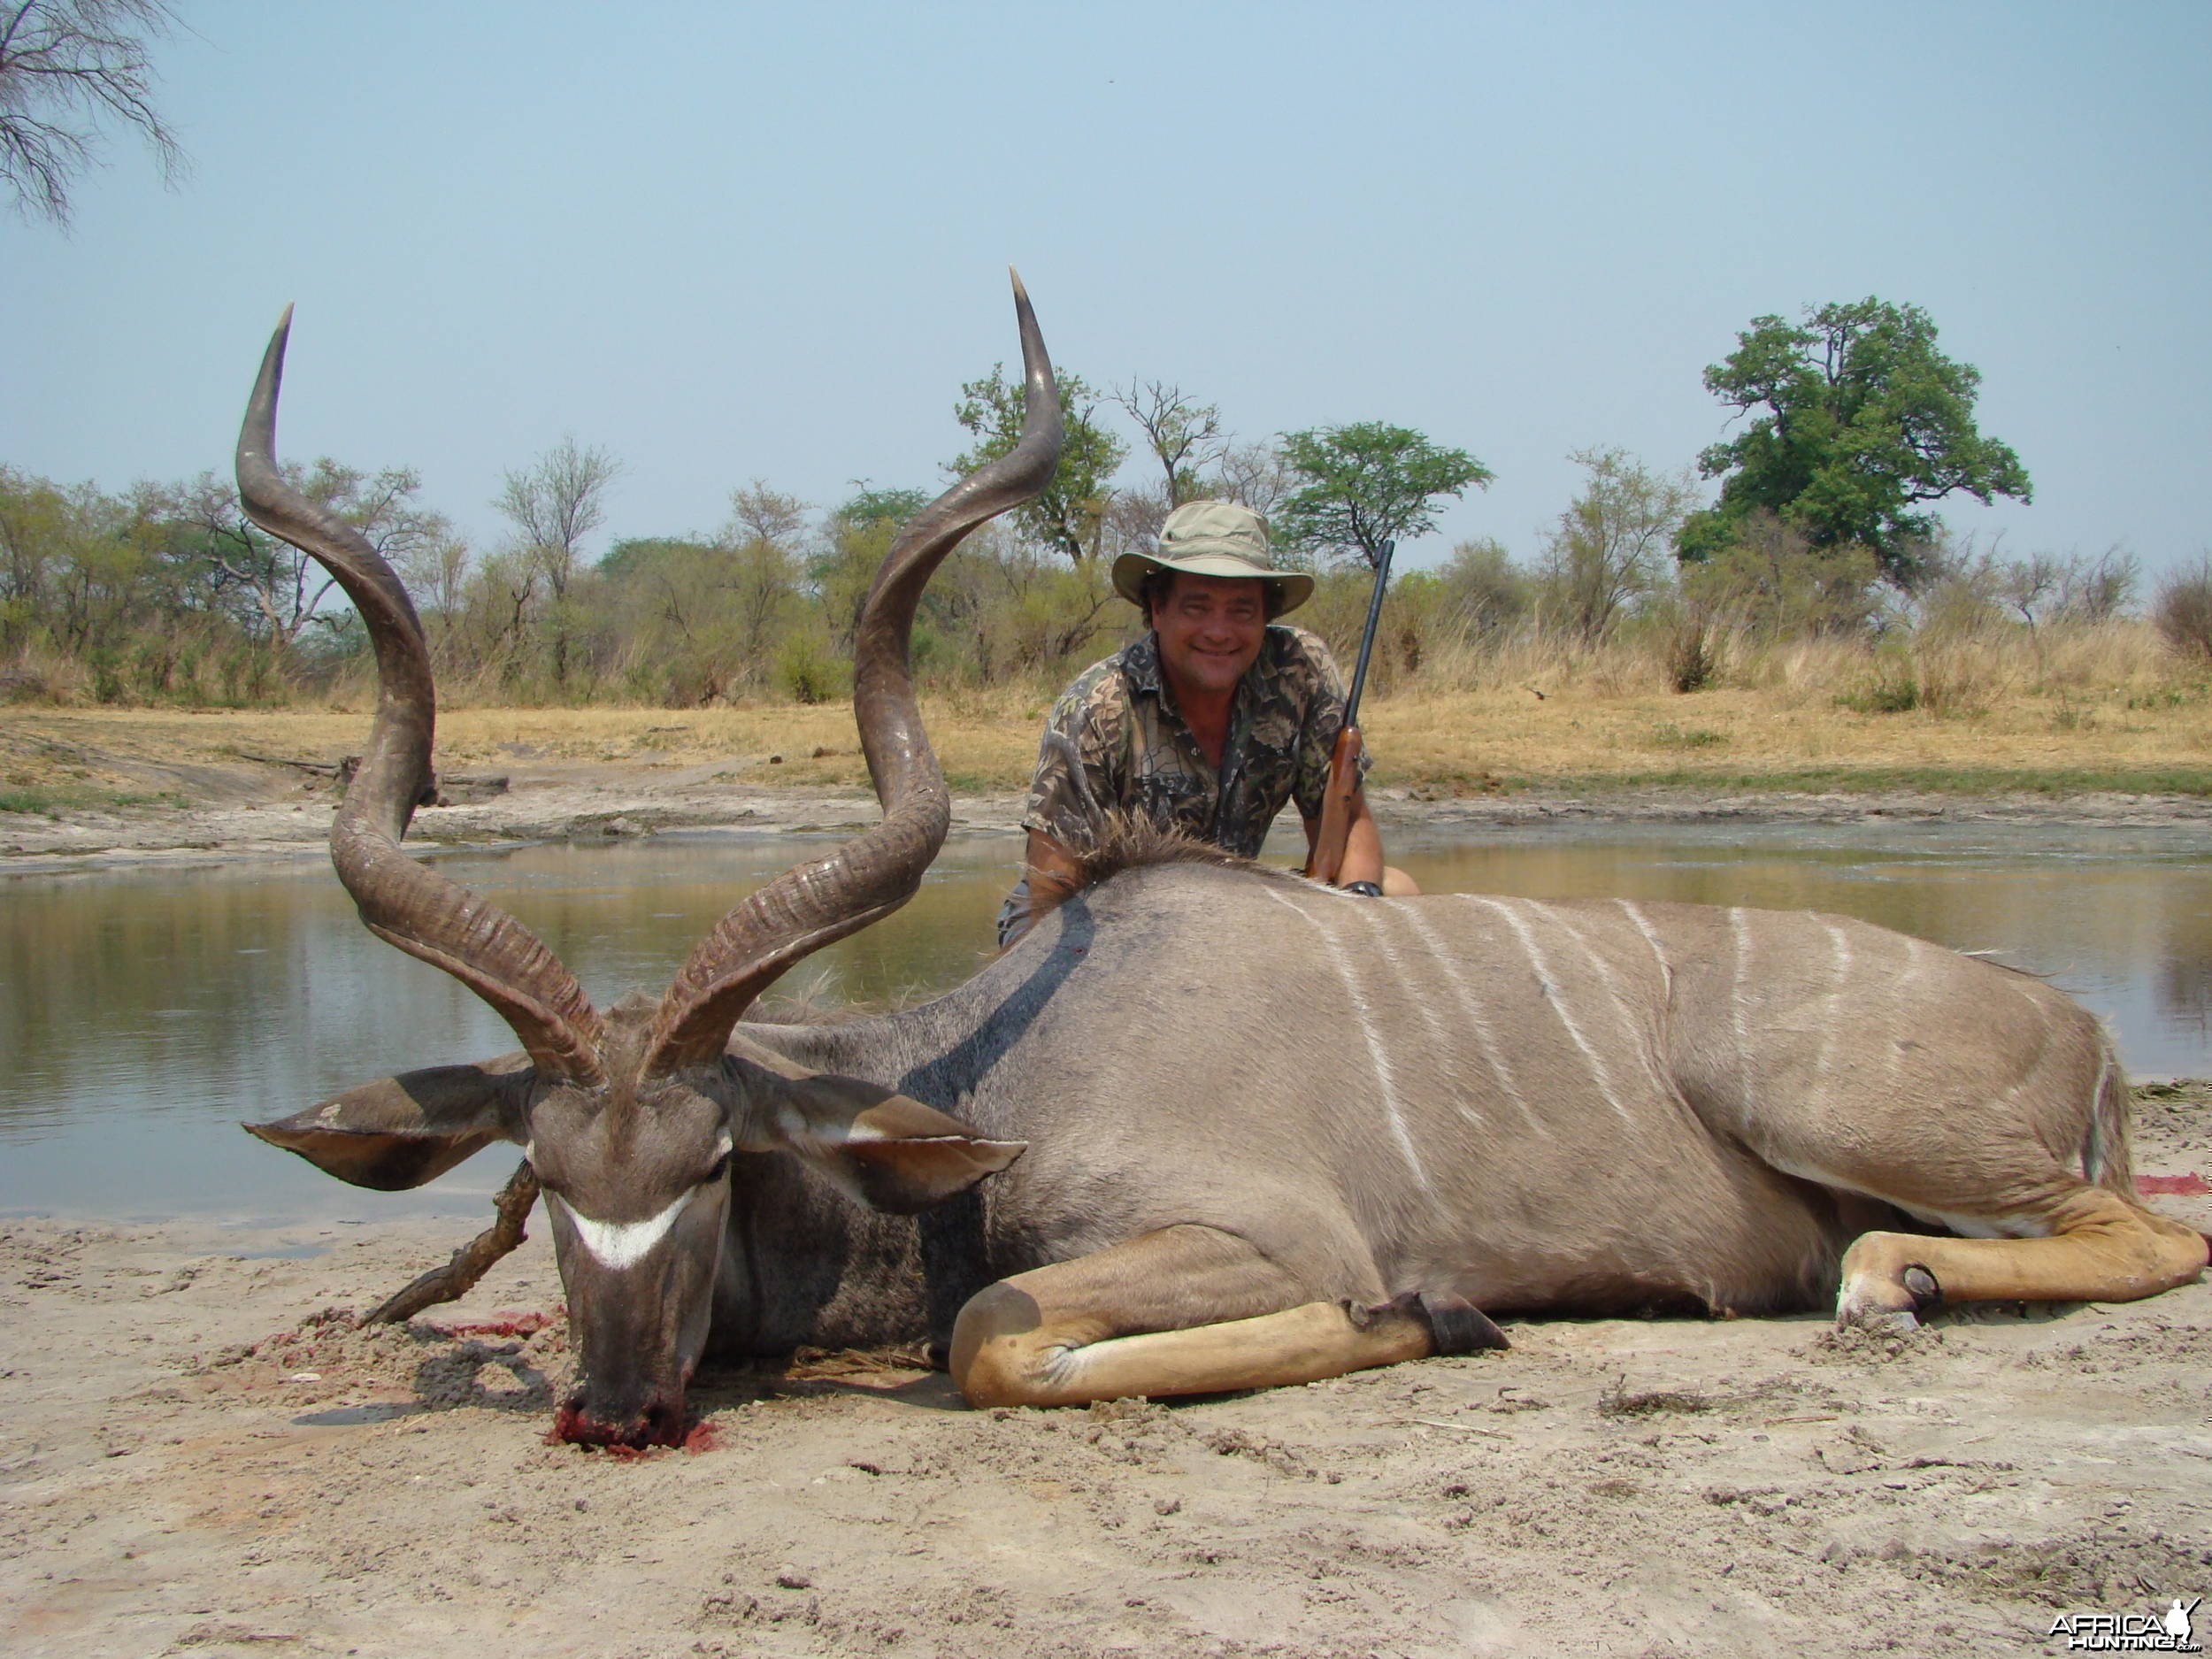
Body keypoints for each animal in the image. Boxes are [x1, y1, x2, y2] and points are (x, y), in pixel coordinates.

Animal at [233, 285, 2203, 1451]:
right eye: (543, 1176)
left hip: (1836, 1104)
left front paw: (1429, 1316)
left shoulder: (1256, 1233)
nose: (619, 1408)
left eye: (714, 1164)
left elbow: (998, 1334)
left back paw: (1890, 1282)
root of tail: (2082, 1032)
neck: (1004, 1075)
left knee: (2137, 1231)